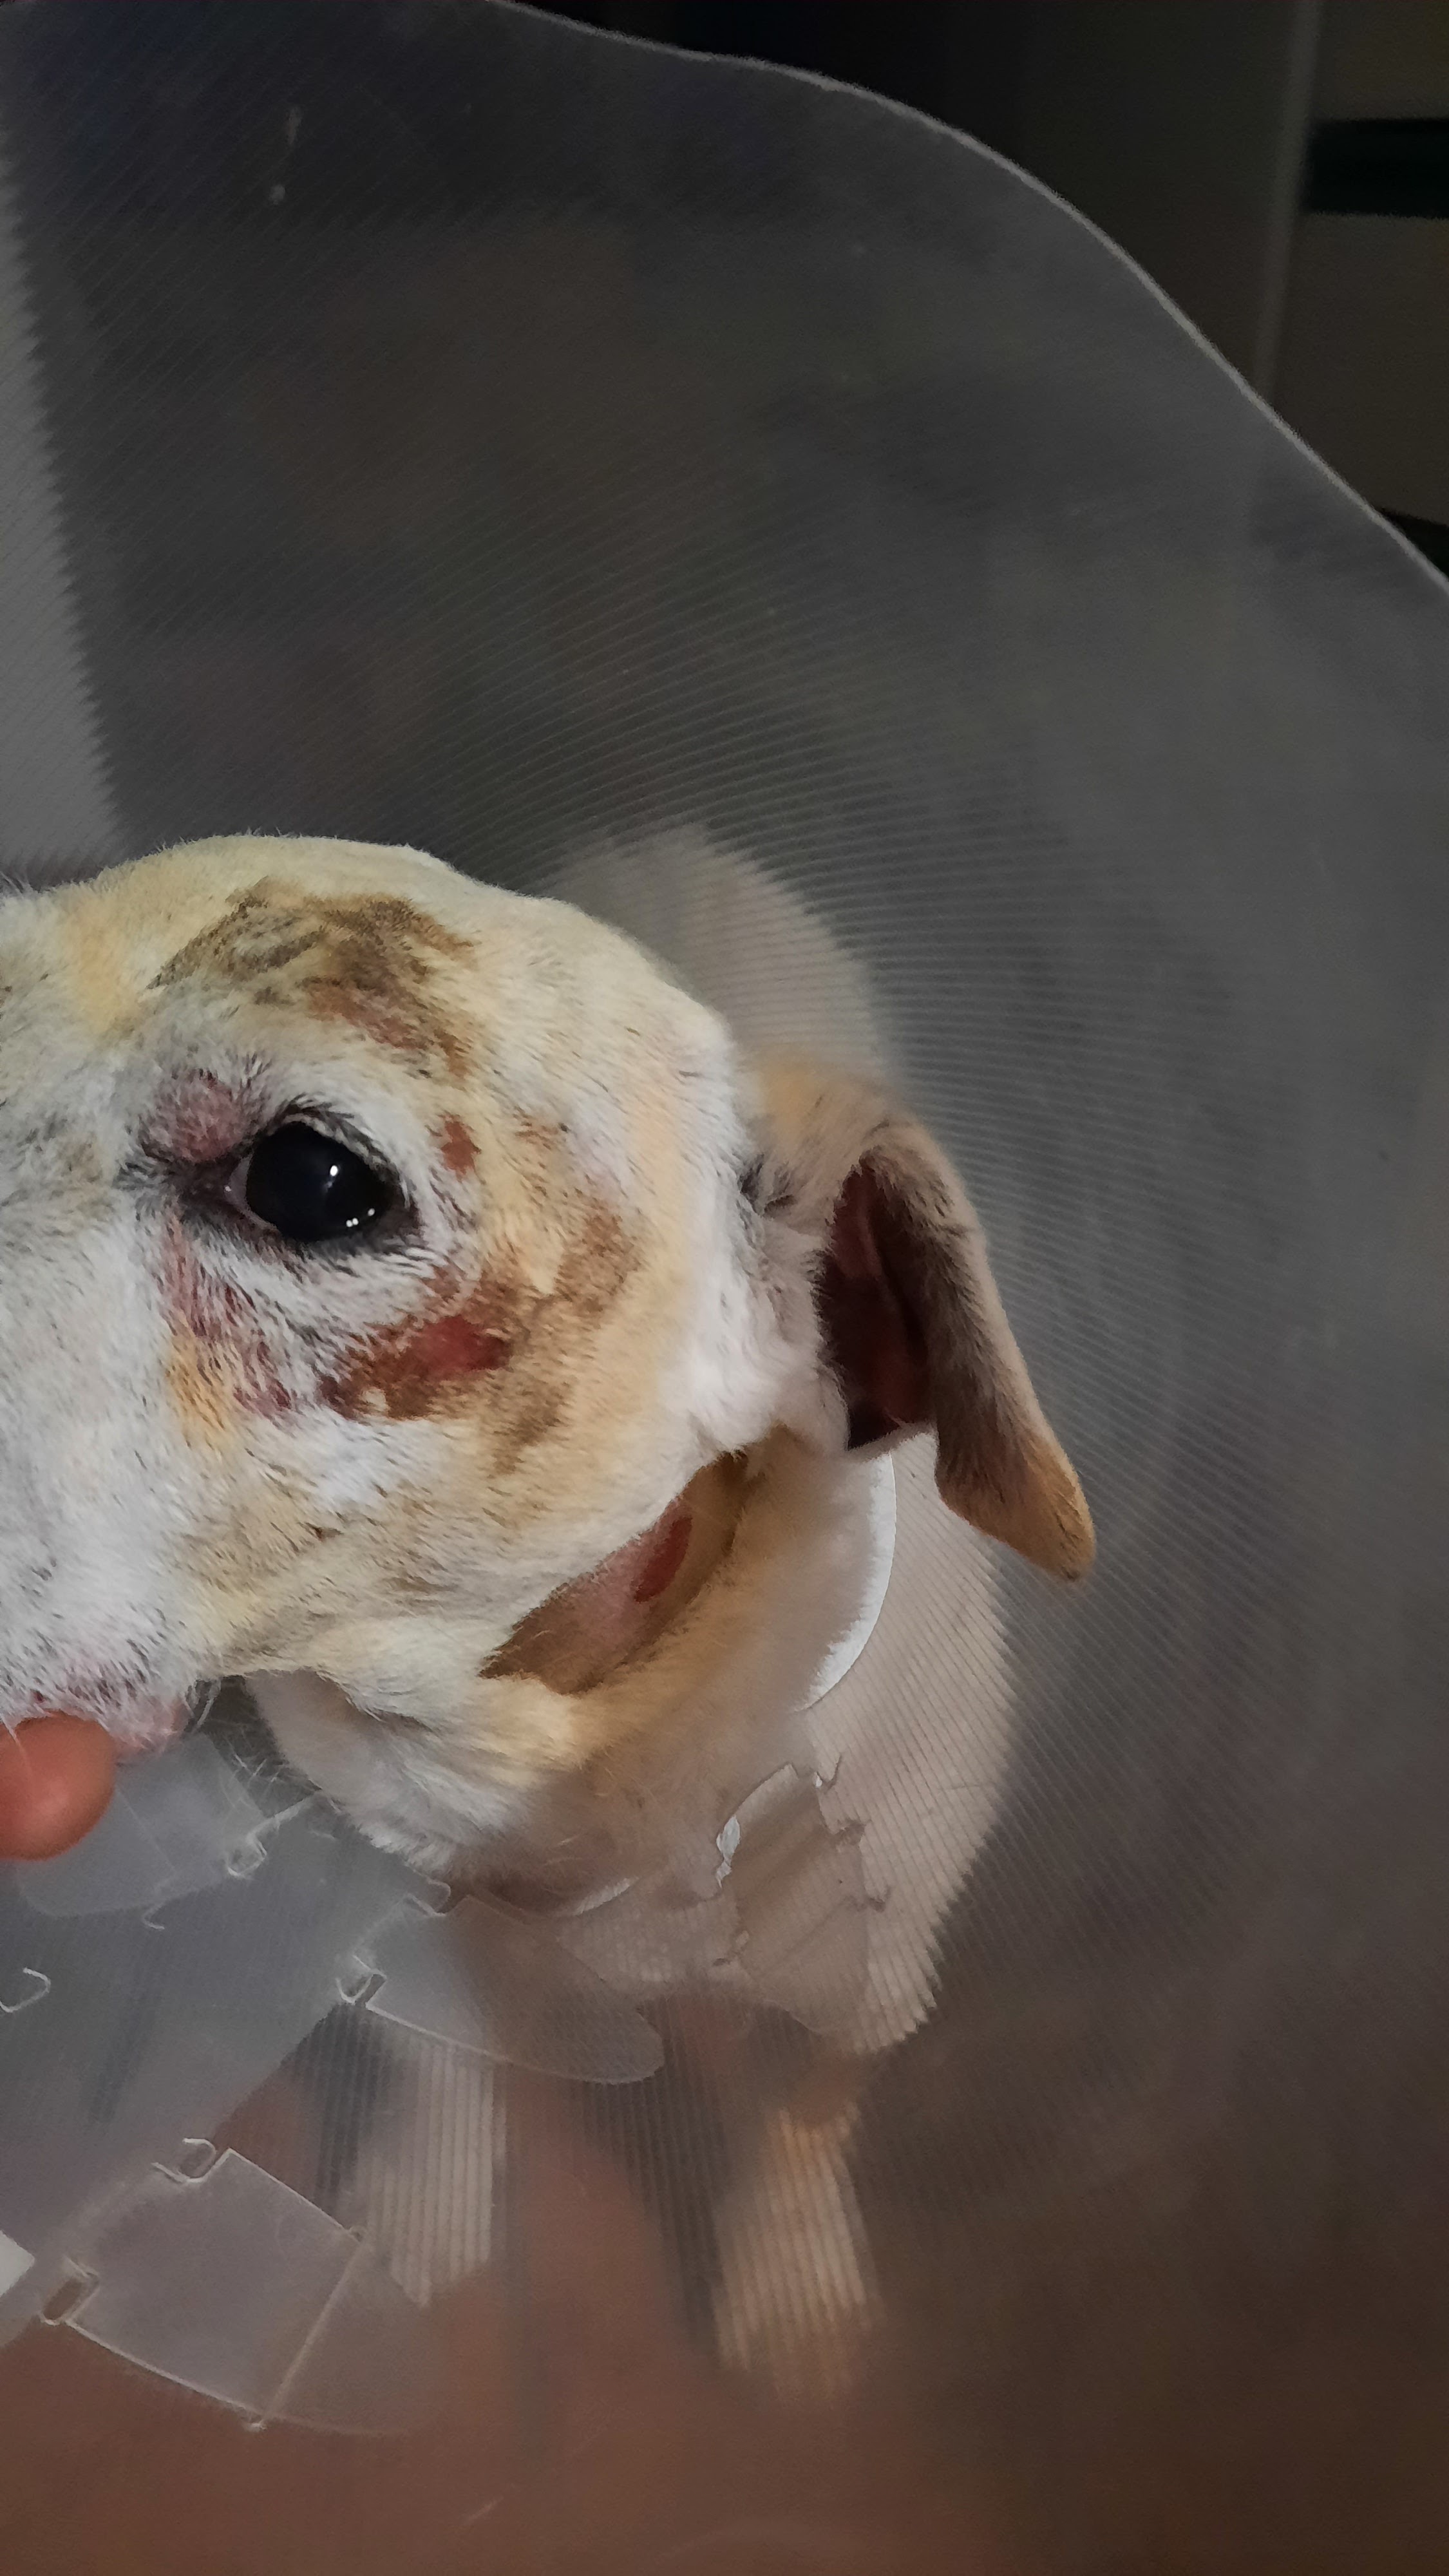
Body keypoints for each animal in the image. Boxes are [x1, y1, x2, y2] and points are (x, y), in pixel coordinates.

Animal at [0, 830, 1091, 2389]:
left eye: (313, 1180)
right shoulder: (403, 1921)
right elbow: (438, 2067)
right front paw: (427, 2203)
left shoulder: (871, 1978)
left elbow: (799, 2111)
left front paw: (792, 2280)